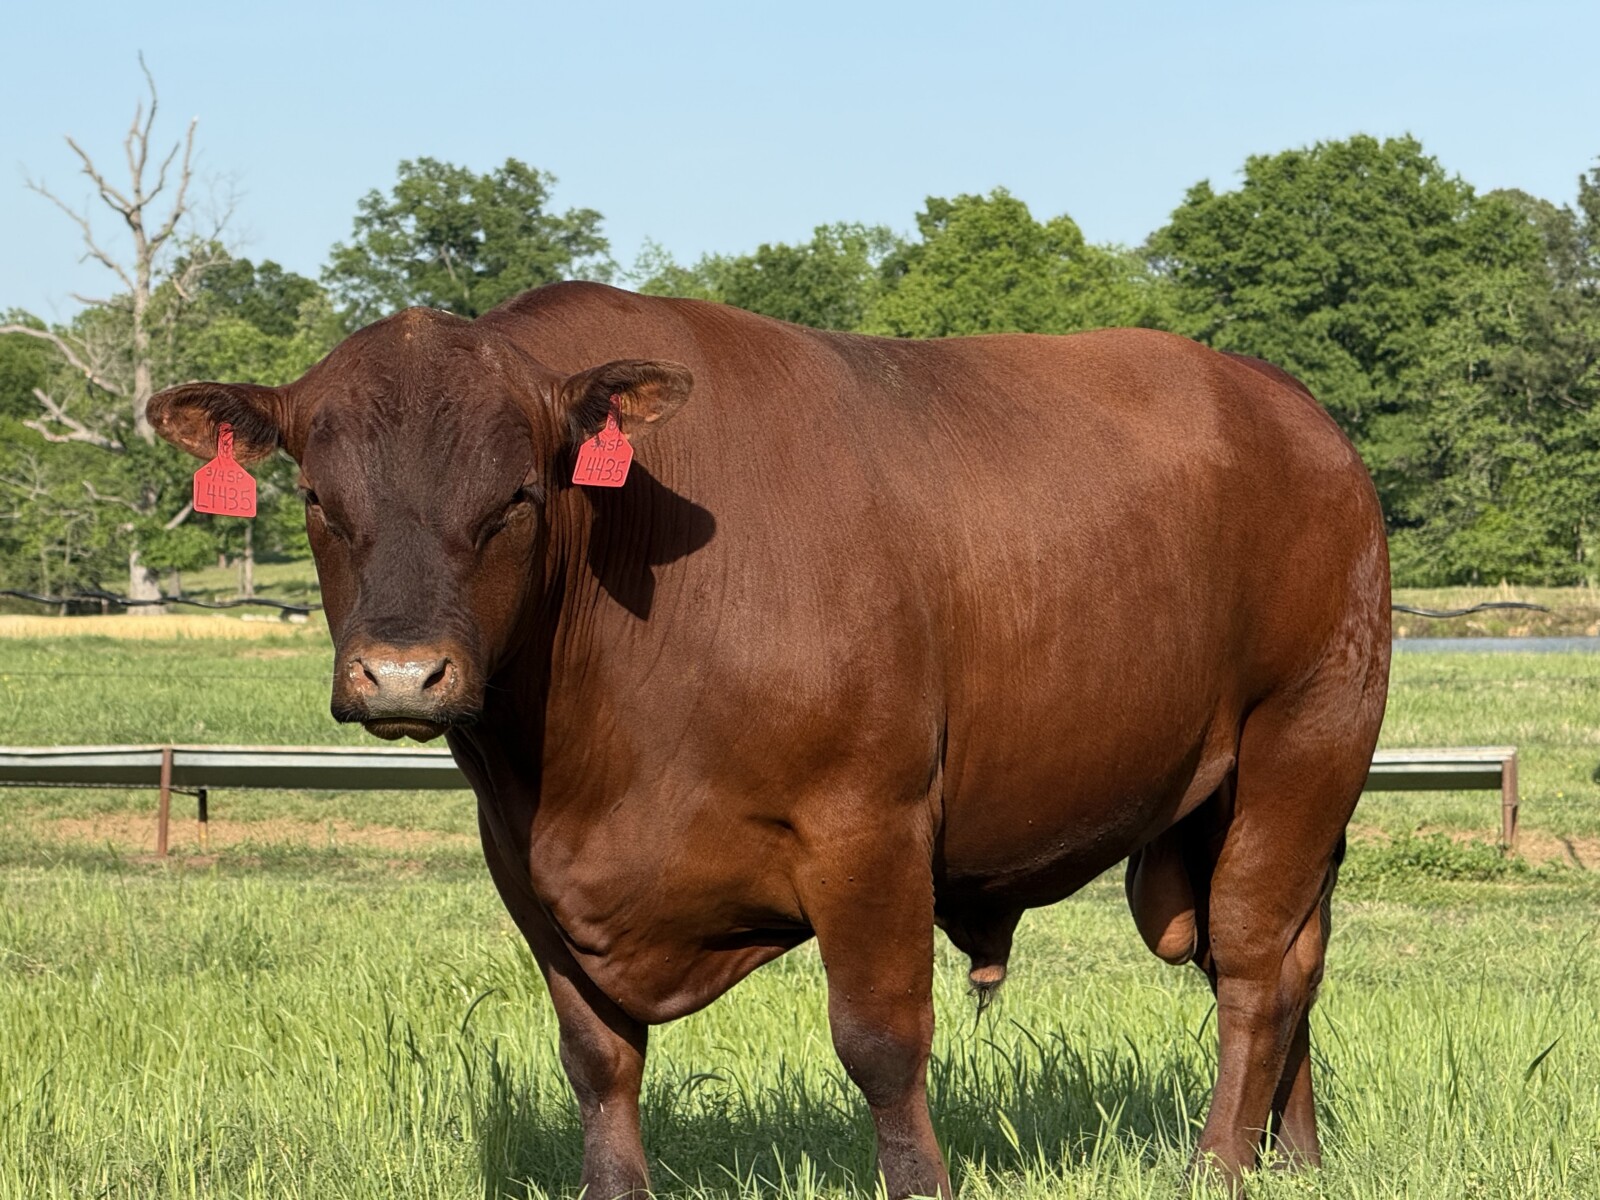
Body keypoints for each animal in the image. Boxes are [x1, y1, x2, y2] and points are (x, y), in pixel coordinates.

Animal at [149, 282, 1390, 1198]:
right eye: (317, 496)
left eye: (515, 498)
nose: (403, 673)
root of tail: (1291, 410)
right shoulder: (522, 863)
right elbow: (597, 1059)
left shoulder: (870, 825)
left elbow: (881, 1043)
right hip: (1224, 797)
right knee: (1291, 958)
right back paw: (1298, 1157)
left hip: (1303, 745)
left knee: (1252, 967)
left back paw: (1221, 1164)